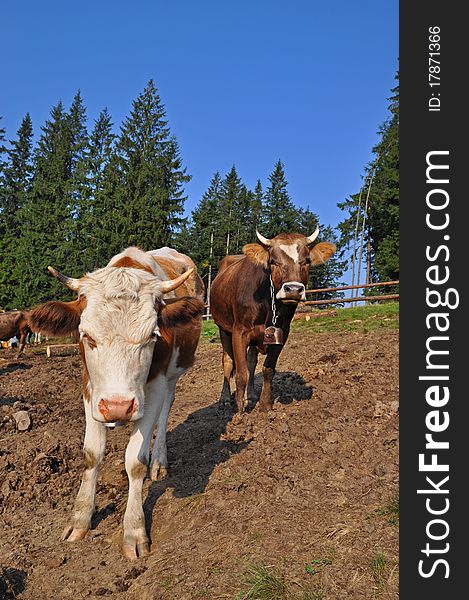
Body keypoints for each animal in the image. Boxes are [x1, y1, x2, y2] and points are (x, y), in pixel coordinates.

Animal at [210, 227, 334, 414]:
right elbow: (240, 373)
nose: (293, 289)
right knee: (228, 361)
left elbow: (267, 369)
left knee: (251, 362)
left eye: (306, 261)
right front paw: (239, 413)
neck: (267, 302)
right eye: (273, 261)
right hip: (223, 328)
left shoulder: (282, 332)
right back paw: (224, 399)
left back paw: (251, 395)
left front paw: (265, 405)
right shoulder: (240, 331)